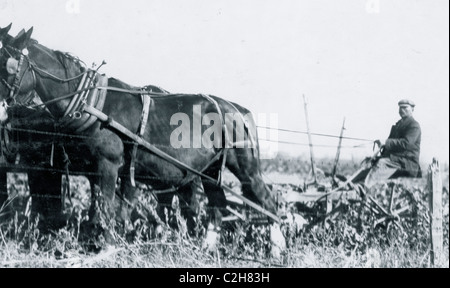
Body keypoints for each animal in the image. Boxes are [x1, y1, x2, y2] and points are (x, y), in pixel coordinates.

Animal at [0, 24, 282, 248]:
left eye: (7, 66)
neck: (90, 101)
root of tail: (238, 109)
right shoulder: (94, 169)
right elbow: (97, 208)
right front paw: (94, 241)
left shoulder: (109, 164)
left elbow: (107, 208)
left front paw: (106, 245)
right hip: (211, 170)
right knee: (217, 205)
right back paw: (207, 247)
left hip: (244, 164)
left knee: (266, 200)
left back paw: (277, 247)